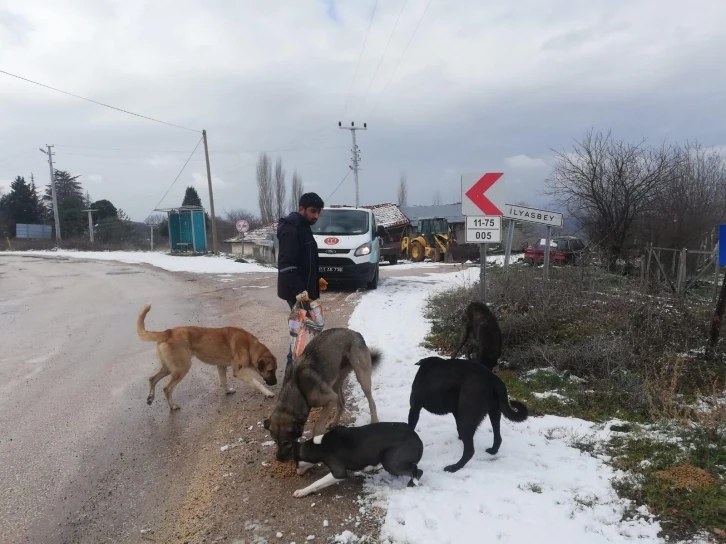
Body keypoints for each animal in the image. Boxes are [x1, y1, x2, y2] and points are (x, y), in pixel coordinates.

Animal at [136, 304, 278, 410]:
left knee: (152, 379)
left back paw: (150, 397)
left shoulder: (221, 366)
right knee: (166, 389)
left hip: (169, 368)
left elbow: (223, 381)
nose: (275, 383)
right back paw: (173, 406)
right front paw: (268, 393)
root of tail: (168, 332)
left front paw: (227, 391)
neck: (249, 346)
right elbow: (257, 382)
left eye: (275, 370)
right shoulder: (239, 371)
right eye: (270, 370)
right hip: (182, 368)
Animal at [292, 420, 424, 498]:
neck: (319, 445)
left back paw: (410, 486)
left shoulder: (339, 472)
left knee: (418, 471)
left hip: (390, 463)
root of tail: (416, 437)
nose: (297, 473)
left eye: (296, 462)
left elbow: (317, 482)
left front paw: (302, 491)